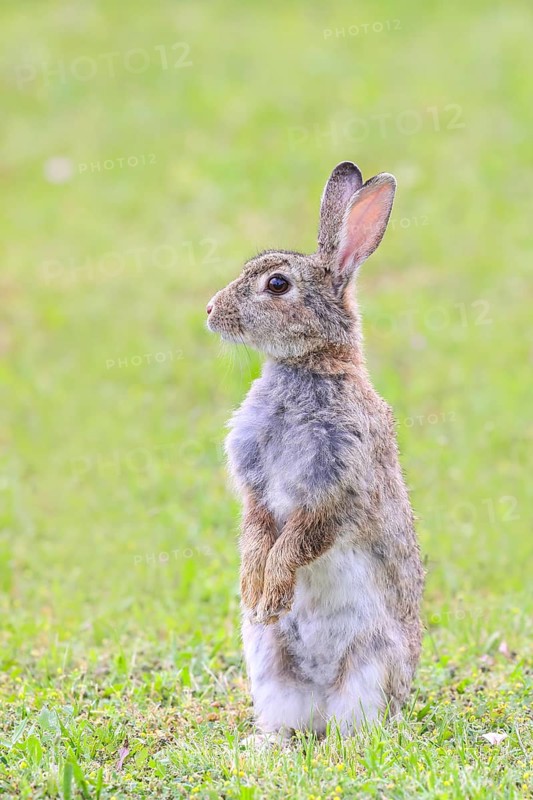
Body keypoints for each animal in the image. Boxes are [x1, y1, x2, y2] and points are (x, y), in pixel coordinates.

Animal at [206, 161, 425, 741]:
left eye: (277, 285)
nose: (210, 310)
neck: (307, 368)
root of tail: (323, 697)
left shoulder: (336, 490)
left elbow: (298, 542)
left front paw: (273, 594)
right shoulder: (257, 492)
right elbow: (258, 534)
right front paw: (255, 592)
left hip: (371, 666)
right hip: (268, 665)